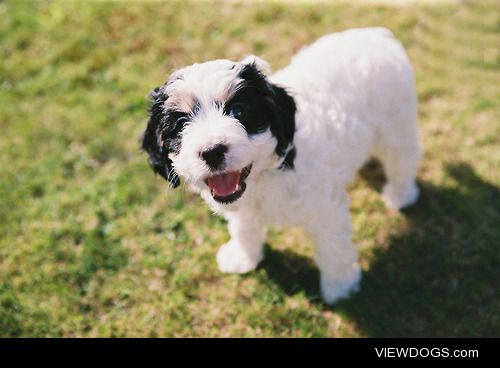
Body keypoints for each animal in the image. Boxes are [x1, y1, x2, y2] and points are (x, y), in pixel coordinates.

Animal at [142, 28, 422, 304]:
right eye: (180, 125)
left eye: (239, 112)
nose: (212, 152)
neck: (265, 175)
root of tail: (375, 35)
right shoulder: (244, 208)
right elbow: (244, 227)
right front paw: (243, 257)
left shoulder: (326, 210)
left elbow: (333, 248)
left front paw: (340, 286)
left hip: (396, 122)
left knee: (402, 156)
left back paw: (400, 194)